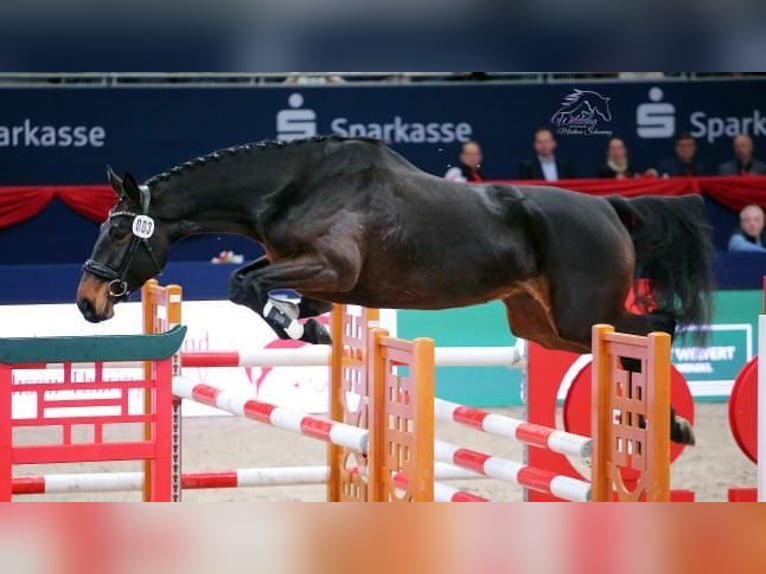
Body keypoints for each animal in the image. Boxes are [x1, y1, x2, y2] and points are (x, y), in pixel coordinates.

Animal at [76, 135, 714, 446]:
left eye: (117, 231)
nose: (87, 301)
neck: (292, 186)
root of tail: (609, 205)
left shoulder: (331, 268)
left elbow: (243, 283)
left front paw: (298, 325)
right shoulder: (319, 274)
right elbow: (254, 285)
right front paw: (308, 325)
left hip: (582, 315)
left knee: (652, 331)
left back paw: (672, 424)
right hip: (541, 324)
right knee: (633, 340)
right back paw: (660, 425)